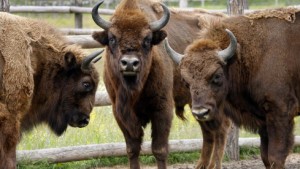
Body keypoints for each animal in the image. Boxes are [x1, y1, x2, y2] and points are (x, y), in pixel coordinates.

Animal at [165, 6, 300, 169]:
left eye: (217, 76)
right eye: (186, 81)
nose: (200, 112)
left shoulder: (280, 113)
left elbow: (275, 156)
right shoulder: (263, 120)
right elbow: (265, 156)